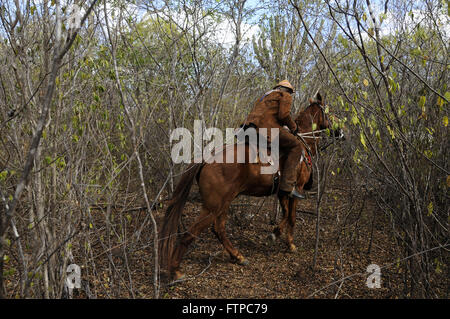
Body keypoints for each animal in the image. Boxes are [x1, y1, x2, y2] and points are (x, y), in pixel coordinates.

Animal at [158, 92, 342, 280]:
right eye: (330, 112)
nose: (341, 131)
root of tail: (207, 157)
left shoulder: (282, 192)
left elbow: (285, 214)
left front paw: (275, 233)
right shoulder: (296, 189)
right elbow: (292, 216)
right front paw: (289, 243)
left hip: (223, 203)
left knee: (218, 229)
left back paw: (238, 256)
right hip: (213, 207)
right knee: (192, 233)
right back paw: (176, 270)